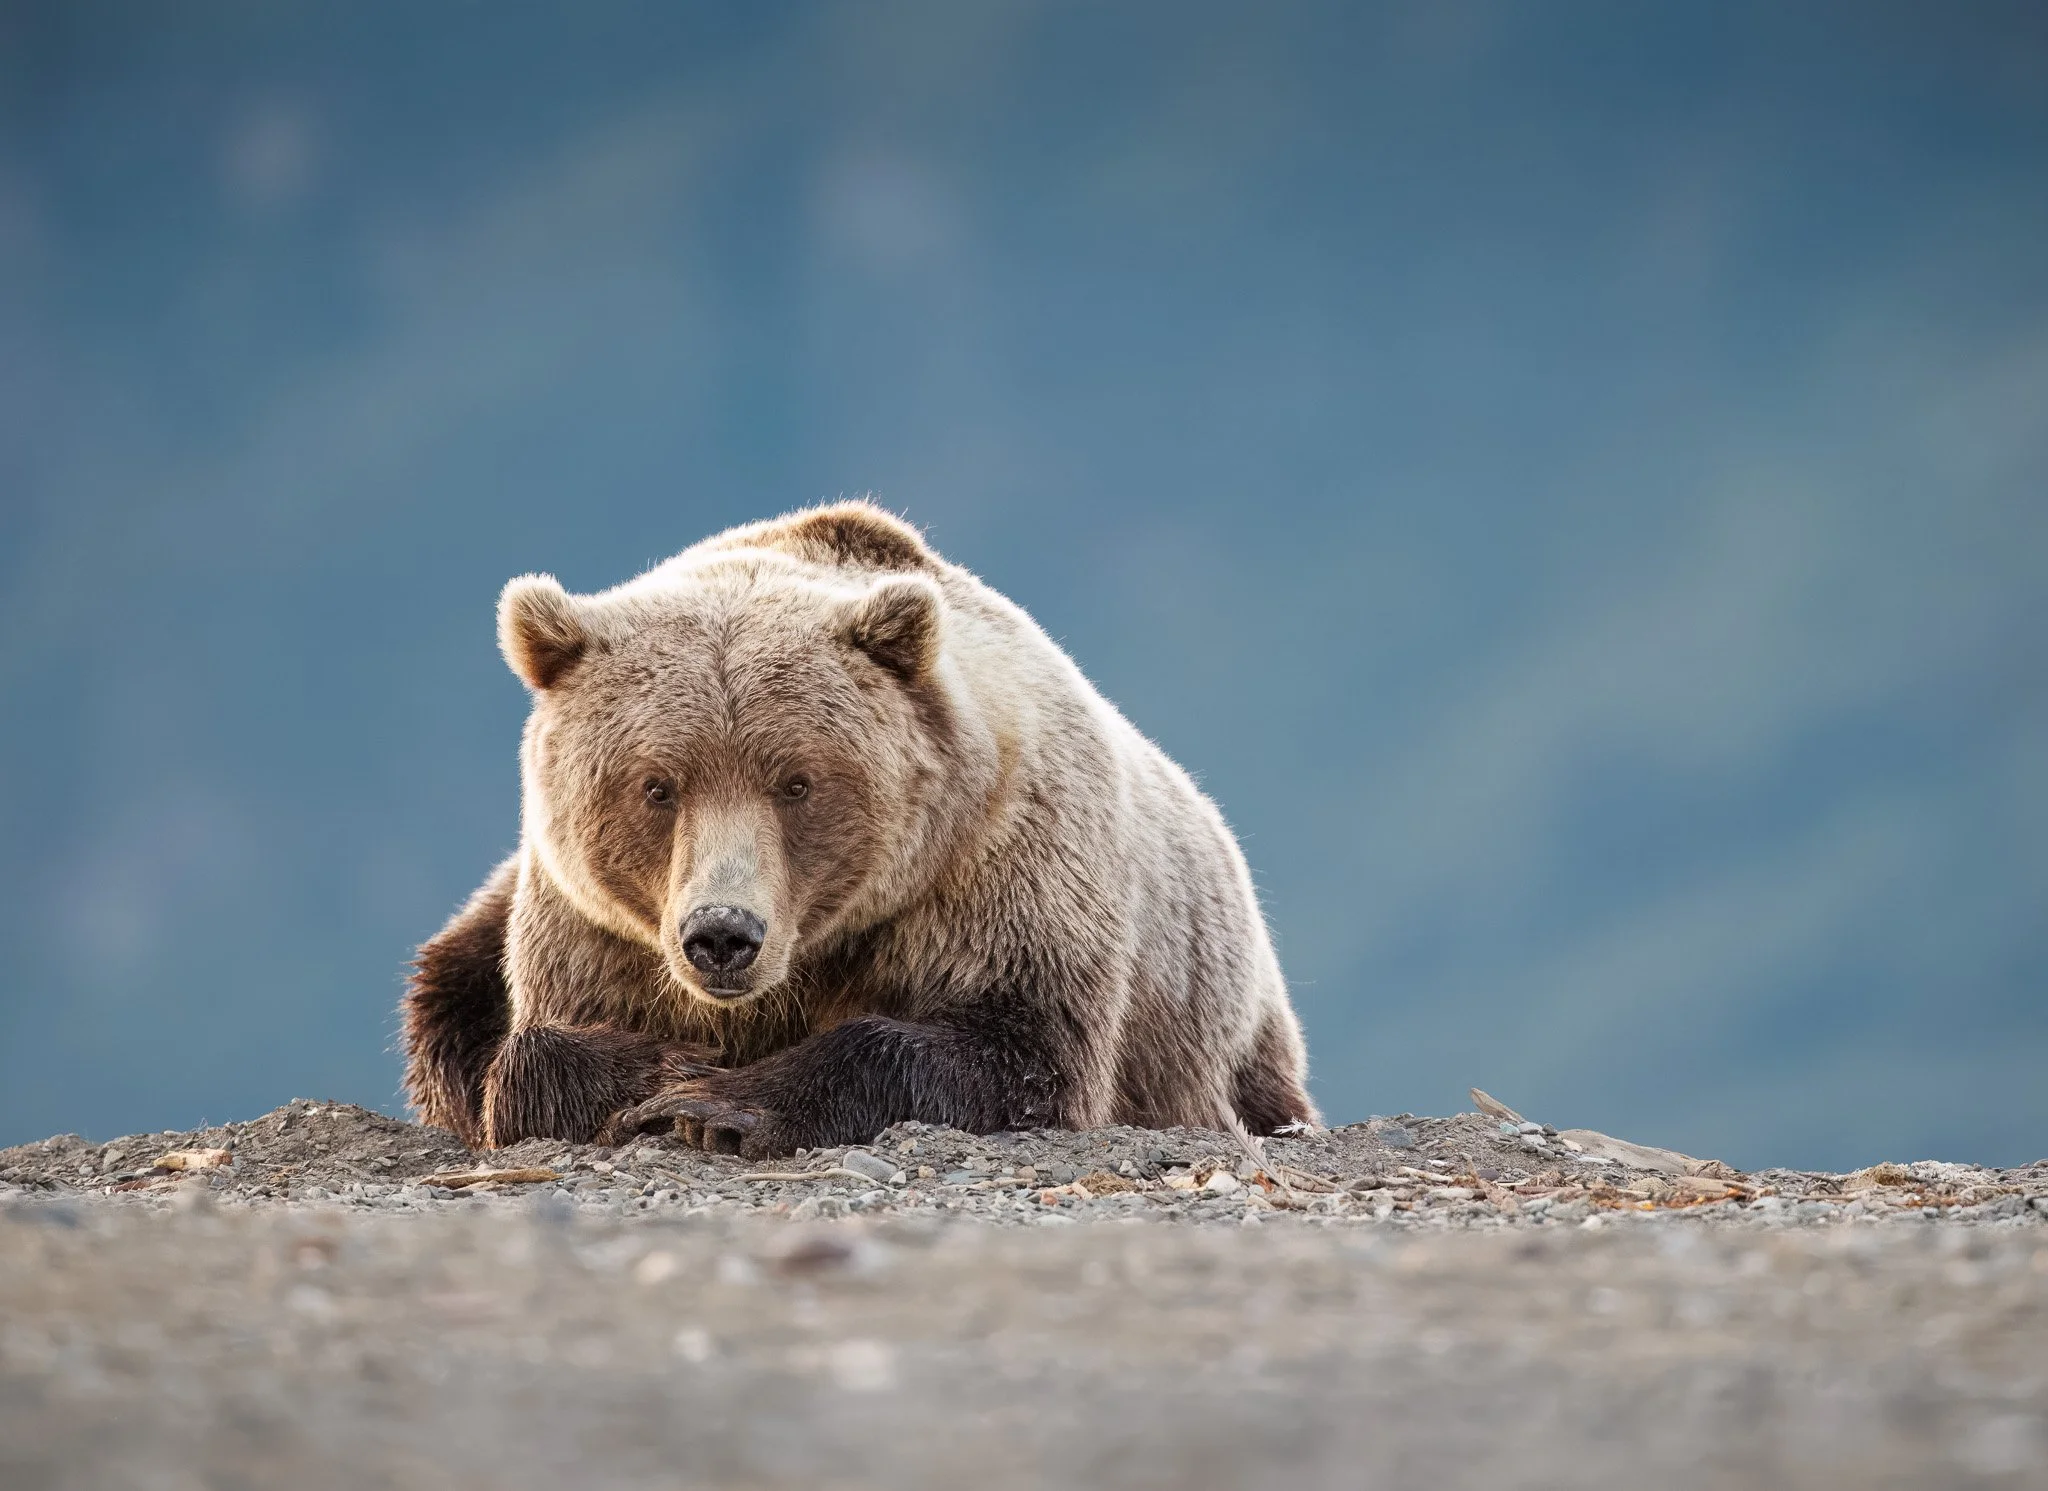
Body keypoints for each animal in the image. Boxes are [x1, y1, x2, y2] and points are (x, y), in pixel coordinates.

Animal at [401, 501, 1317, 1158]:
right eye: (657, 785)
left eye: (797, 781)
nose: (723, 934)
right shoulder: (591, 926)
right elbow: (535, 1053)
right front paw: (658, 1071)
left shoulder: (1002, 869)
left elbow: (1018, 1050)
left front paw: (724, 1102)